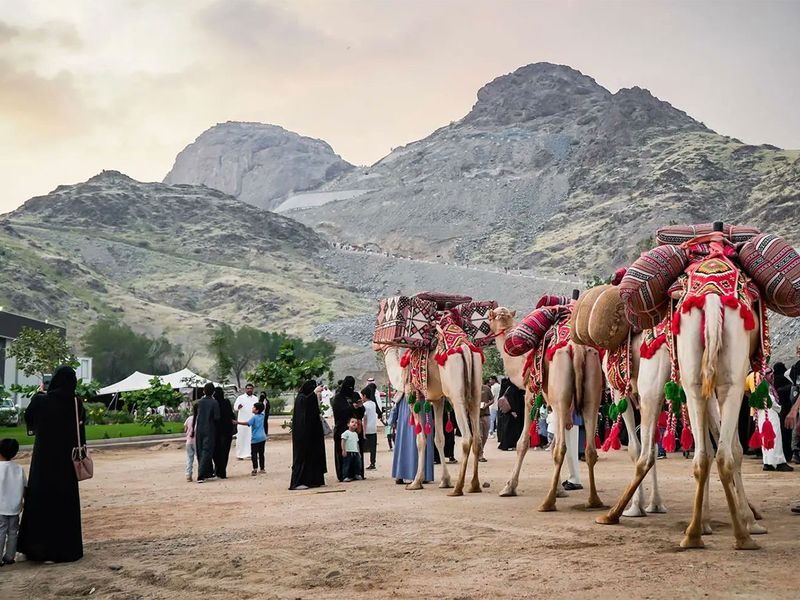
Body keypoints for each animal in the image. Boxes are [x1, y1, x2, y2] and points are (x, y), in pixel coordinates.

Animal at [380, 336, 484, 494]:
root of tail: (465, 348)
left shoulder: (411, 393)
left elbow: (421, 440)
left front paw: (416, 482)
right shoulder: (437, 400)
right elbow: (439, 439)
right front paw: (445, 481)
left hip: (455, 394)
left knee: (467, 437)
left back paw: (457, 488)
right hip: (476, 392)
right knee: (477, 437)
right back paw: (474, 485)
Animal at [484, 310, 604, 510]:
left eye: (489, 318)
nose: (486, 332)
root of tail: (577, 350)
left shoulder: (530, 395)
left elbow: (523, 442)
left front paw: (509, 487)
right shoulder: (552, 405)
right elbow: (553, 442)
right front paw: (560, 490)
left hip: (561, 397)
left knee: (561, 448)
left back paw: (547, 502)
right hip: (591, 396)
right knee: (590, 450)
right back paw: (594, 500)